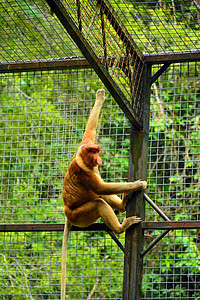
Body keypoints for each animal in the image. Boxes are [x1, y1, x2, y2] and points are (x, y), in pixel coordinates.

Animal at [61, 89, 147, 300]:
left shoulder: (82, 144)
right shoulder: (84, 173)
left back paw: (123, 205)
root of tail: (67, 211)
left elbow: (89, 131)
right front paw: (137, 184)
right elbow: (100, 188)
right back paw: (120, 226)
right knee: (98, 202)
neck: (82, 158)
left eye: (97, 150)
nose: (98, 159)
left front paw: (100, 96)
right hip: (80, 216)